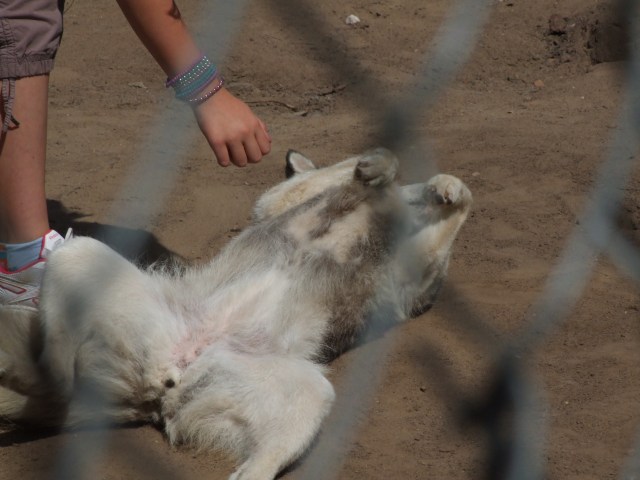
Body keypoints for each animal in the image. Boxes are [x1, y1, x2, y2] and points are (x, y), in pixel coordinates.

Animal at [0, 148, 471, 480]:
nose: (418, 196)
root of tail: (173, 372)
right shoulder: (281, 200)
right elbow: (362, 166)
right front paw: (386, 173)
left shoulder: (409, 285)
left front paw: (441, 188)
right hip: (82, 255)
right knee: (57, 361)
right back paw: (34, 374)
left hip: (305, 393)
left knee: (258, 466)